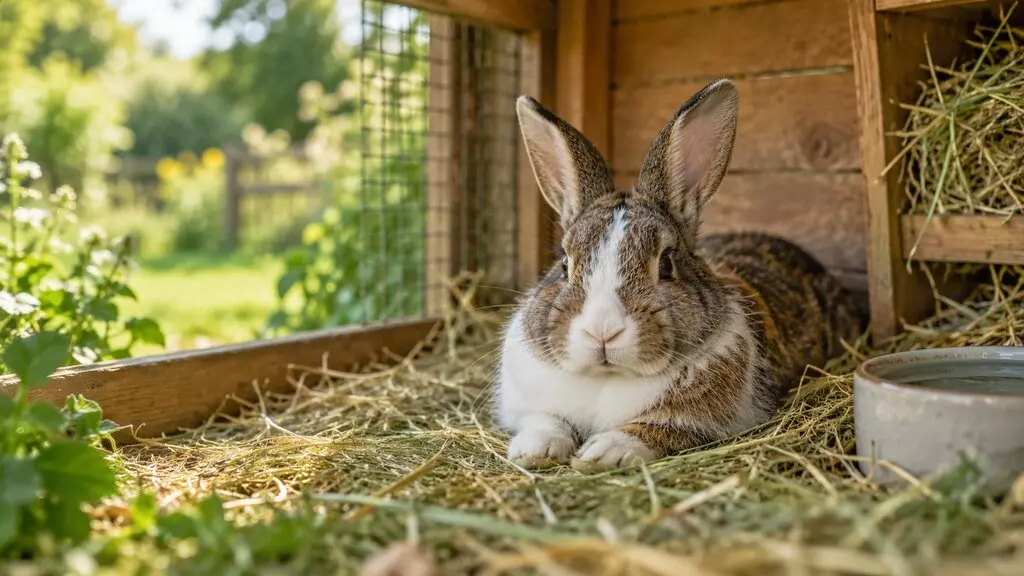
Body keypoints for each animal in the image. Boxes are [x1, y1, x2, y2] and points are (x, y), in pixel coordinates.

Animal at [495, 78, 866, 472]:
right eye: (565, 263)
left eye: (666, 264)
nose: (602, 332)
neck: (608, 377)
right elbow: (543, 419)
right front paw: (535, 450)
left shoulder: (701, 421)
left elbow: (655, 429)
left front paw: (604, 452)